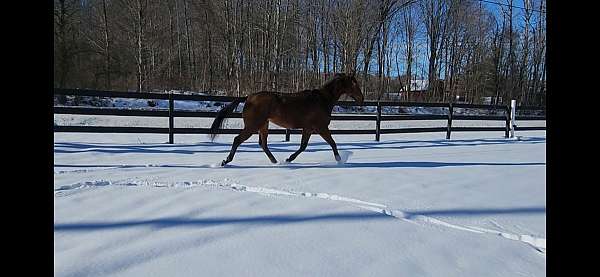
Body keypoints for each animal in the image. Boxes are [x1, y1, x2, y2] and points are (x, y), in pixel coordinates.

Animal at [209, 72, 364, 165]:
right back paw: (226, 161)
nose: (362, 99)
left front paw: (289, 159)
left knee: (263, 144)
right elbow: (332, 143)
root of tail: (248, 97)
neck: (322, 100)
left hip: (263, 125)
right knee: (237, 140)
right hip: (253, 126)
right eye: (354, 84)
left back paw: (275, 161)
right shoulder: (321, 127)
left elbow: (303, 146)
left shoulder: (308, 128)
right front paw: (340, 160)